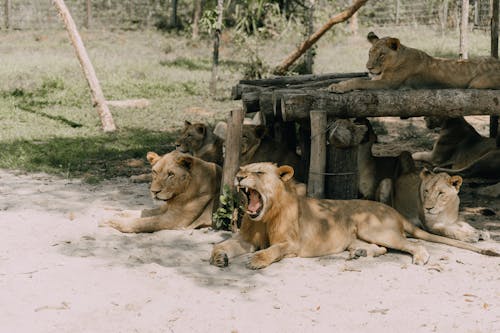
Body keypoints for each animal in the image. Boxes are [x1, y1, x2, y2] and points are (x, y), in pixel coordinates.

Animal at [328, 31, 500, 92]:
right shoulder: (378, 78)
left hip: (477, 83)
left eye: (381, 55)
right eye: (370, 53)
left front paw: (338, 88)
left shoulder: (388, 84)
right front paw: (337, 84)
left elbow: (358, 81)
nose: (369, 67)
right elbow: (355, 79)